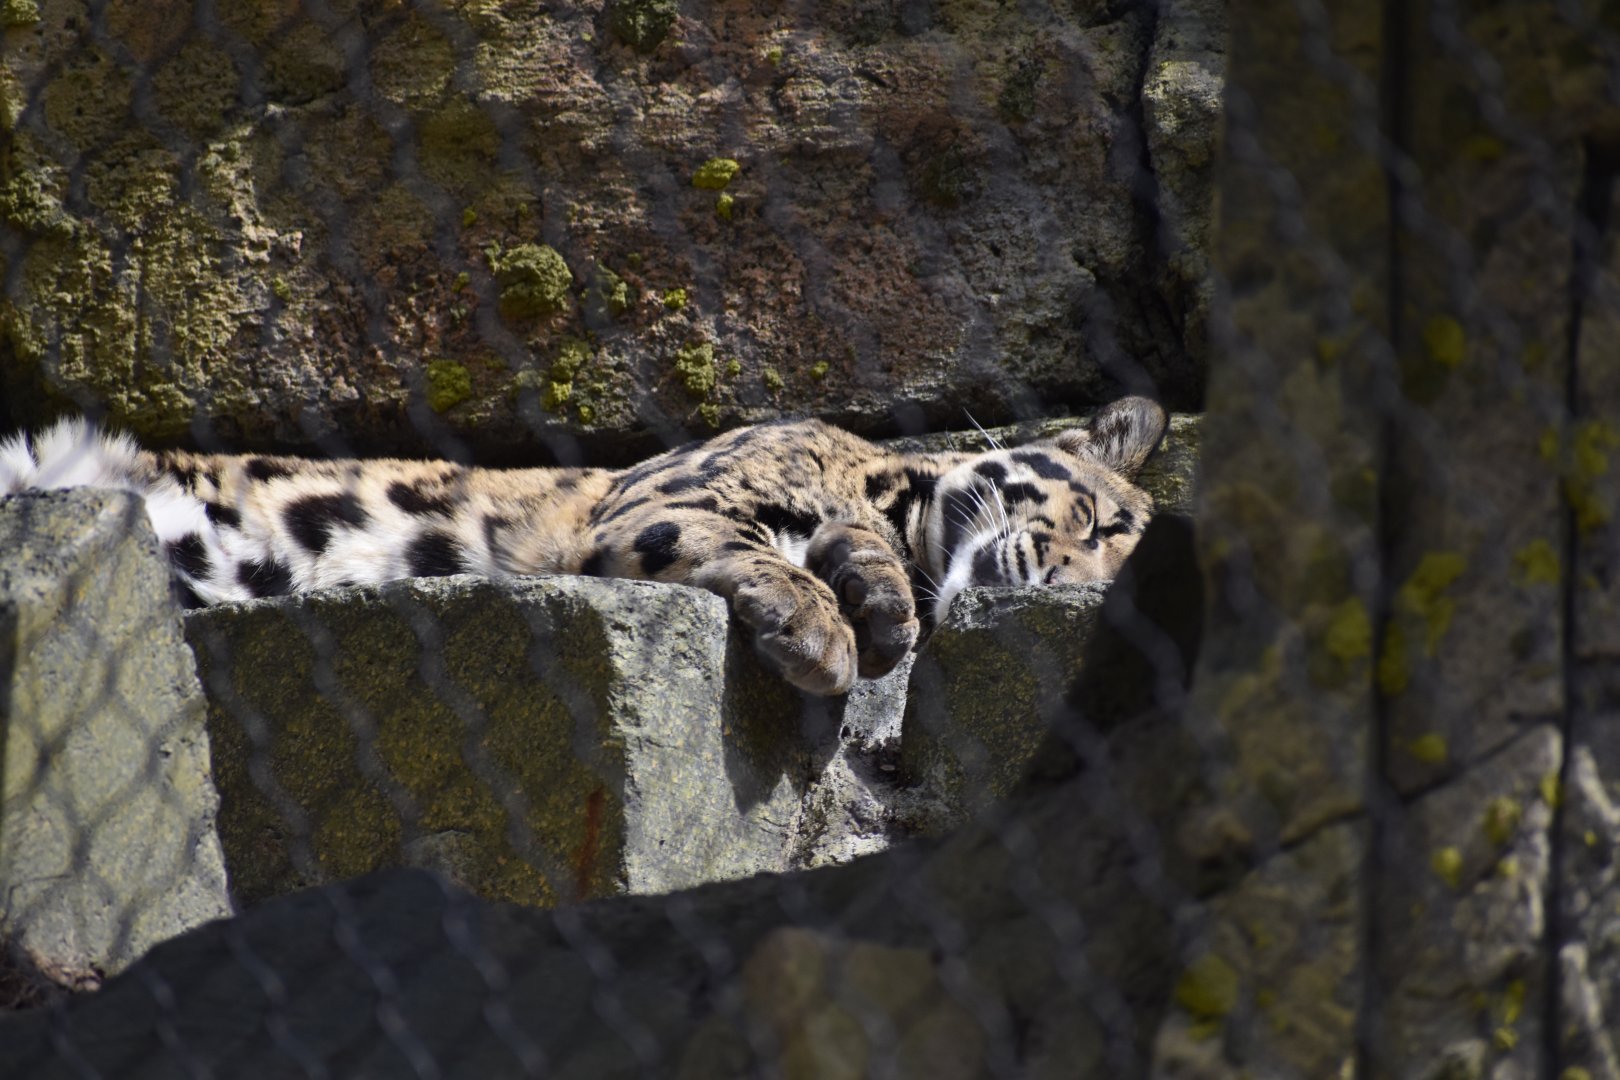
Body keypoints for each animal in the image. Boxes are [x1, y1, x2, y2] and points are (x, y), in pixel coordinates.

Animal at [0, 396, 1168, 696]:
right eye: (1102, 526)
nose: (1063, 585)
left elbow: (857, 555)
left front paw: (879, 615)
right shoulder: (661, 499)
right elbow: (745, 543)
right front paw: (816, 628)